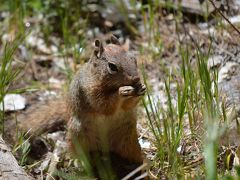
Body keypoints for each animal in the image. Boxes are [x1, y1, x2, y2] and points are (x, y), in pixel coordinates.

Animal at [8, 35, 146, 179]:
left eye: (134, 59)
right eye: (112, 66)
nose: (136, 78)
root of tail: (105, 147)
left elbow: (128, 105)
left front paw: (141, 88)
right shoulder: (88, 90)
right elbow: (103, 104)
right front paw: (122, 91)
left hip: (129, 141)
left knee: (133, 155)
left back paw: (141, 166)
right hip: (78, 136)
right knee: (78, 154)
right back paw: (78, 162)